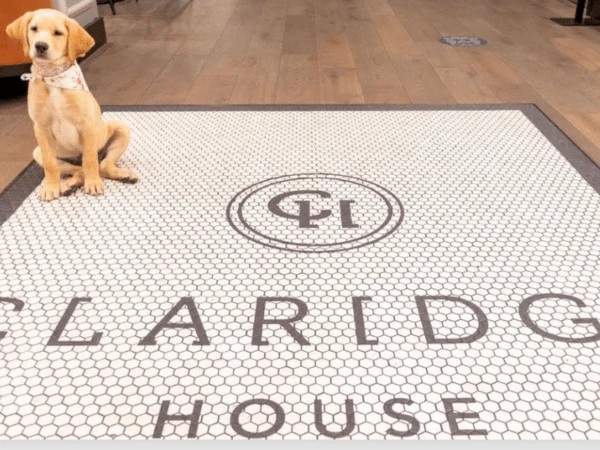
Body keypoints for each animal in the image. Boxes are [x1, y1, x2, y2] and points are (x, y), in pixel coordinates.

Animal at [5, 8, 138, 202]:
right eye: (34, 28)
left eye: (58, 33)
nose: (40, 46)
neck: (54, 77)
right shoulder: (41, 128)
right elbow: (50, 164)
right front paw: (50, 187)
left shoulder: (86, 125)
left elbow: (89, 159)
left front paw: (93, 184)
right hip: (38, 152)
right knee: (78, 169)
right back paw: (68, 185)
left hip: (121, 129)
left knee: (101, 165)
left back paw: (123, 175)